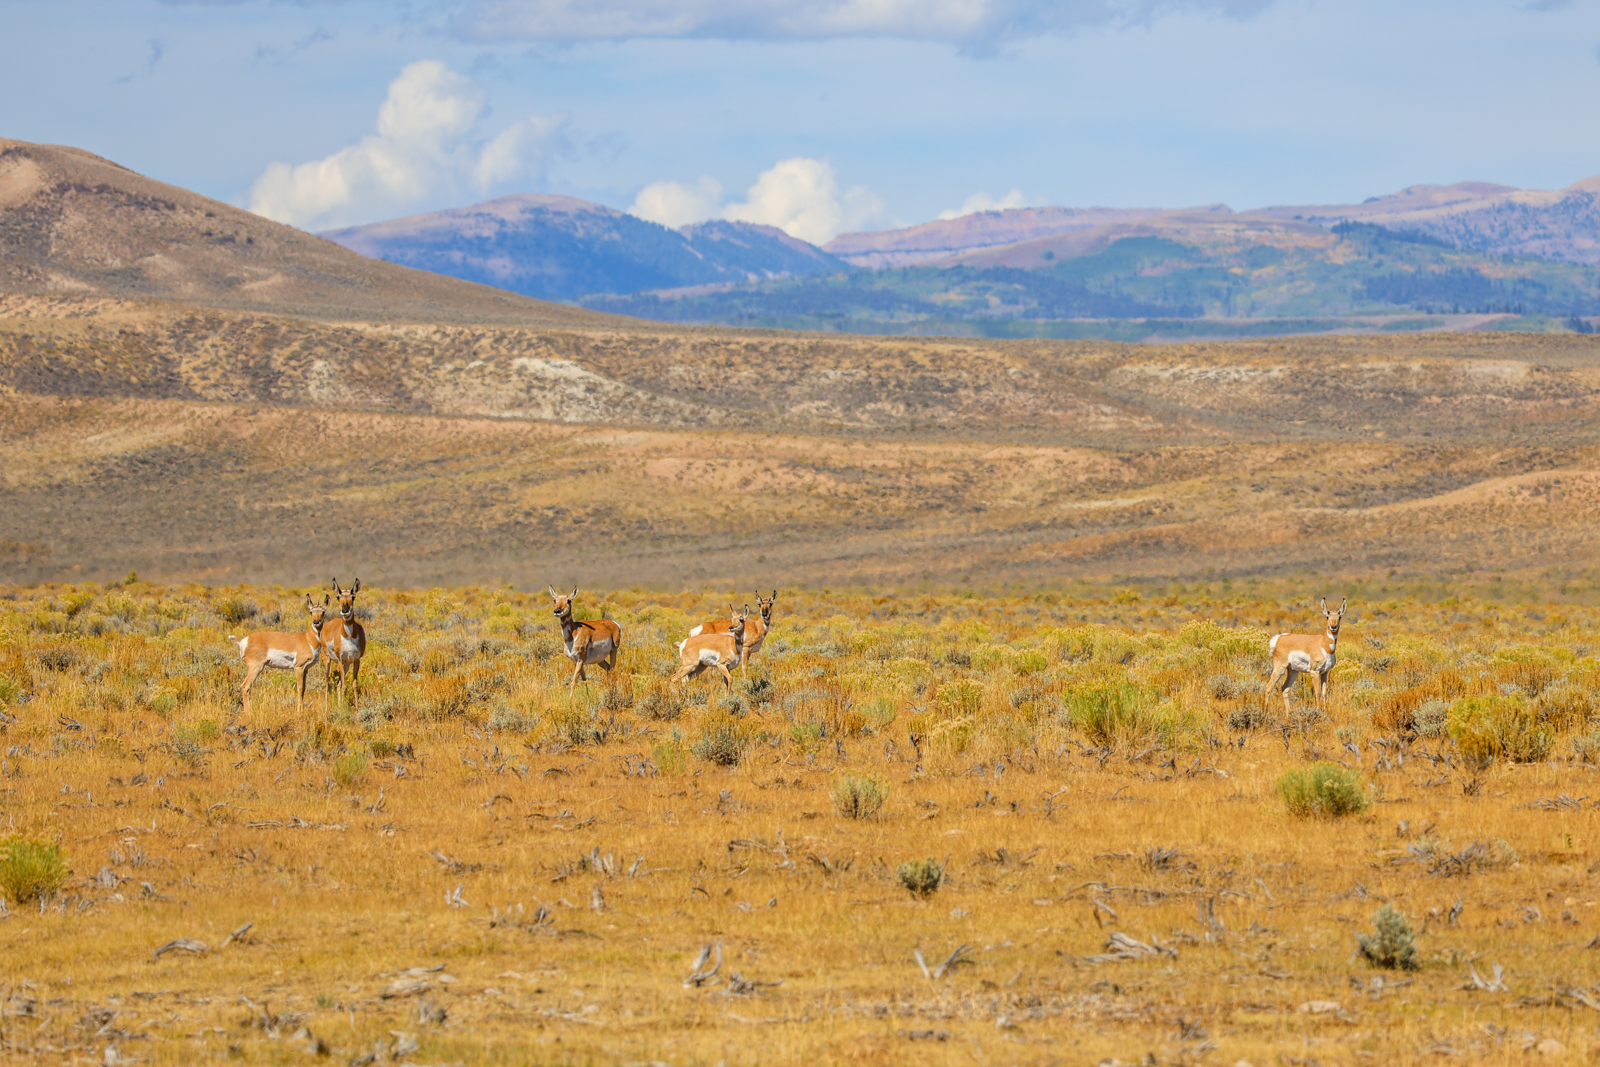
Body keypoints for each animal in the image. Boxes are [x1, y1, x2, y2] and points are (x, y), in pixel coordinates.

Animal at [320, 578, 368, 714]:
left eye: (353, 597)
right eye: (338, 597)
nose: (345, 610)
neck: (349, 636)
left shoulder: (356, 660)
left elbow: (354, 685)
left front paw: (356, 708)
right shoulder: (341, 659)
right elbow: (345, 686)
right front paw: (343, 710)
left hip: (346, 665)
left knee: (338, 685)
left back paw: (339, 705)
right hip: (328, 660)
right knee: (327, 681)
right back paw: (326, 708)